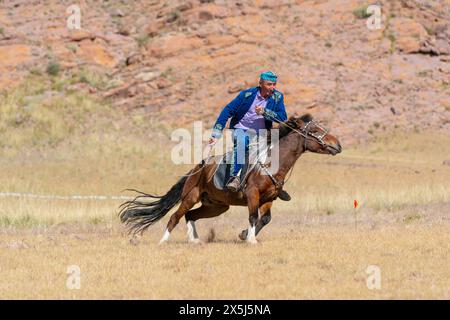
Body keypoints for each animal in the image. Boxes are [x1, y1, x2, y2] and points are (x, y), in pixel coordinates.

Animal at [118, 114, 342, 244]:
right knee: (175, 216)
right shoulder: (252, 194)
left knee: (190, 216)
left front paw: (244, 235)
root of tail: (198, 168)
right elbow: (252, 217)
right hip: (190, 196)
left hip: (216, 206)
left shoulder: (269, 199)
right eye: (315, 131)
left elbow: (265, 219)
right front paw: (250, 240)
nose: (338, 145)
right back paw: (163, 242)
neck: (272, 162)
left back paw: (195, 241)